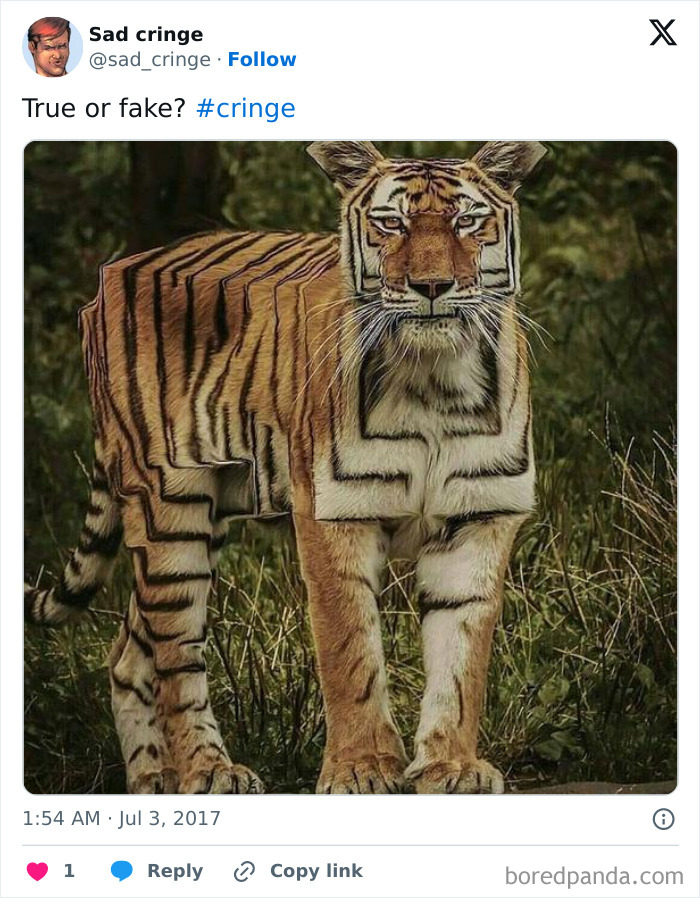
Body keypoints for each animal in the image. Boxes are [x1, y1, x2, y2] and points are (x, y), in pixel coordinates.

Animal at [25, 140, 546, 795]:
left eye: (468, 221)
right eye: (390, 222)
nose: (432, 285)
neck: (436, 381)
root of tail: (118, 269)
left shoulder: (481, 518)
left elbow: (462, 661)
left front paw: (451, 768)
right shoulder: (332, 514)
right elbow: (350, 651)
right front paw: (362, 771)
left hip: (204, 514)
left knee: (127, 656)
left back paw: (154, 782)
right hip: (169, 508)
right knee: (175, 653)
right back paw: (209, 772)